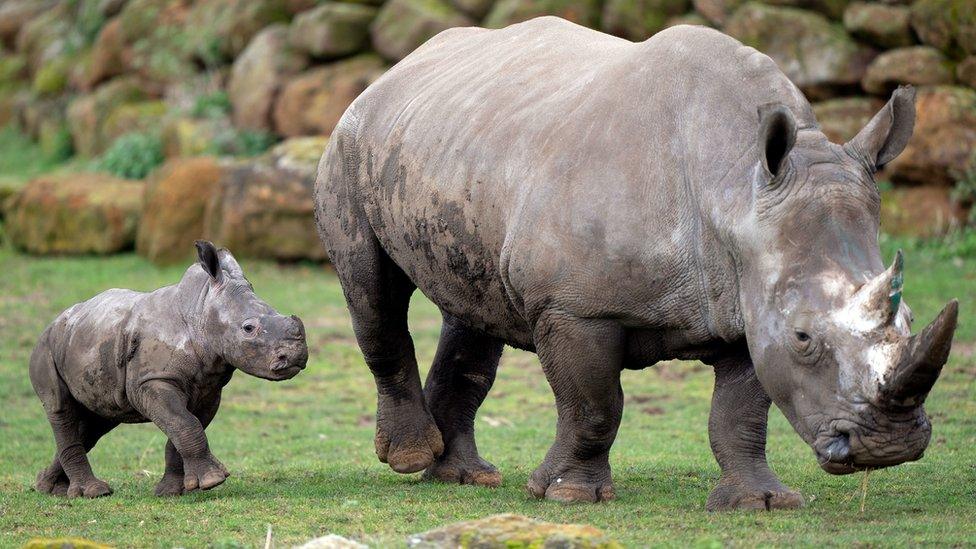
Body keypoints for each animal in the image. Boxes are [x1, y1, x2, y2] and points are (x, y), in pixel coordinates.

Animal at [29, 240, 304, 496]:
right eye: (248, 328)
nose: (296, 357)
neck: (199, 311)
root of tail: (55, 321)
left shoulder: (209, 389)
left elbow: (181, 426)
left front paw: (172, 491)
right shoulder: (152, 381)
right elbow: (185, 424)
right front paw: (213, 480)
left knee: (98, 422)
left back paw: (48, 487)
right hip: (45, 347)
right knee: (60, 408)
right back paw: (93, 492)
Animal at [314, 17, 960, 508]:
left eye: (909, 320)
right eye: (804, 338)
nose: (890, 447)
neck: (736, 187)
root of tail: (395, 70)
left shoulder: (748, 301)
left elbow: (740, 416)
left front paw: (761, 502)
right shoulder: (574, 307)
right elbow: (594, 406)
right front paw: (569, 496)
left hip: (463, 145)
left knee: (471, 306)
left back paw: (466, 478)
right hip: (349, 142)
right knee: (374, 294)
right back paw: (412, 459)